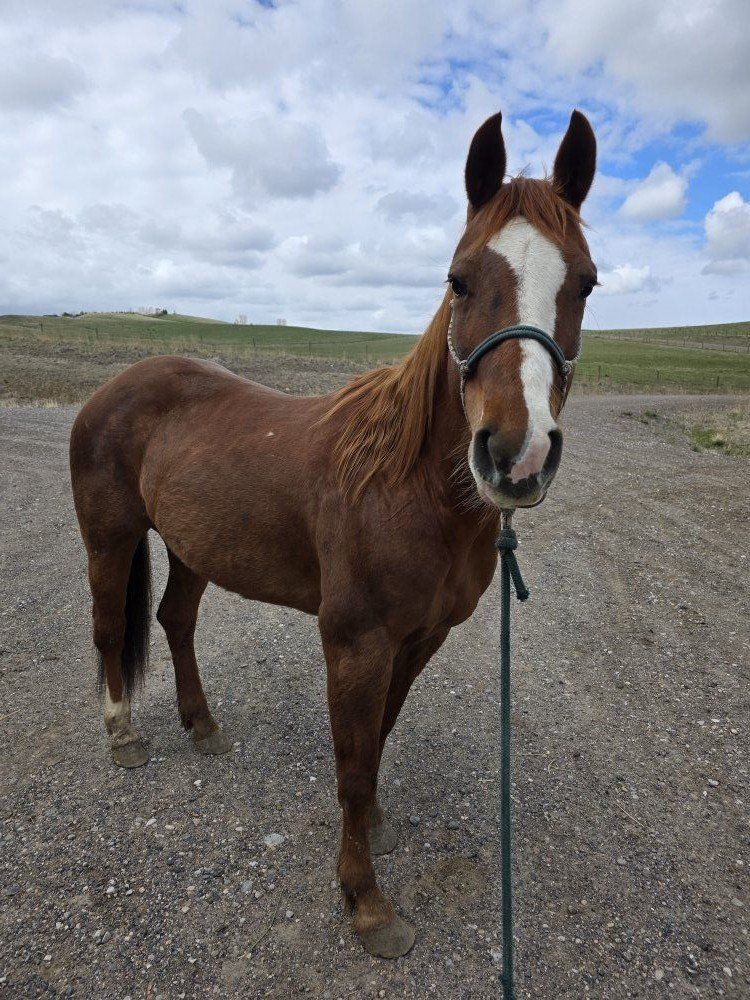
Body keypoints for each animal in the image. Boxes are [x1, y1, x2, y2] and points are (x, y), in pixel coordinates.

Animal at [69, 108, 597, 958]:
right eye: (459, 279)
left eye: (584, 282)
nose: (517, 454)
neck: (406, 486)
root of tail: (115, 388)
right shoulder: (355, 641)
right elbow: (350, 762)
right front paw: (366, 903)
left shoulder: (420, 639)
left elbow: (379, 737)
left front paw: (375, 826)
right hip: (110, 538)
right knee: (107, 627)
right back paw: (123, 736)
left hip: (192, 546)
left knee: (174, 620)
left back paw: (202, 725)